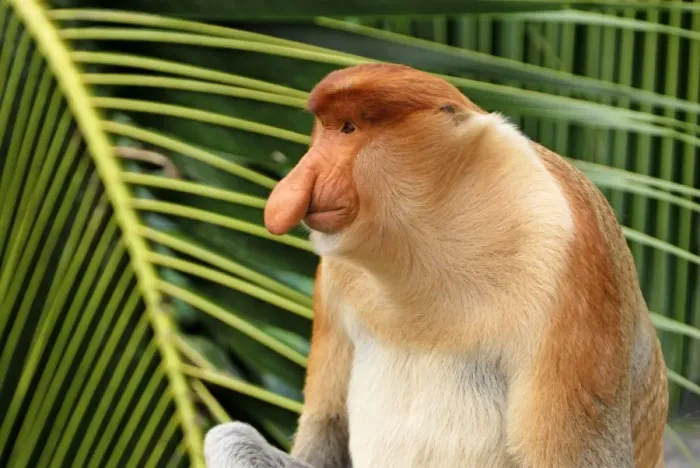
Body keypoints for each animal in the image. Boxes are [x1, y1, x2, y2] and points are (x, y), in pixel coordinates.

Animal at [205, 63, 669, 468]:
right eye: (325, 128)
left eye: (349, 128)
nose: (293, 183)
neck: (427, 242)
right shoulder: (335, 279)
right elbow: (324, 439)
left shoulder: (574, 257)